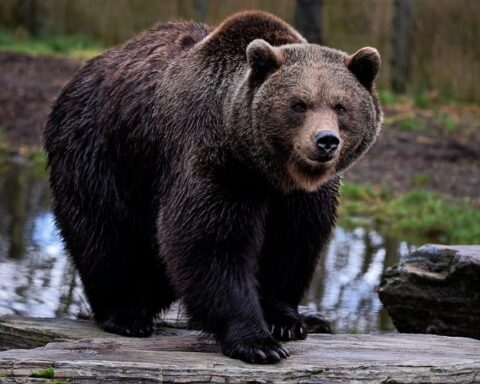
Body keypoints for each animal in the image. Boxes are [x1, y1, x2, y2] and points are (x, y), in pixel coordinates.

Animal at [45, 11, 382, 364]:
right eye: (298, 104)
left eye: (340, 106)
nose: (325, 141)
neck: (268, 170)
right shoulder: (216, 162)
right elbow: (211, 242)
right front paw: (258, 342)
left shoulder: (302, 197)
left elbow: (291, 244)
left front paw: (286, 322)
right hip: (101, 150)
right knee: (104, 232)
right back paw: (126, 314)